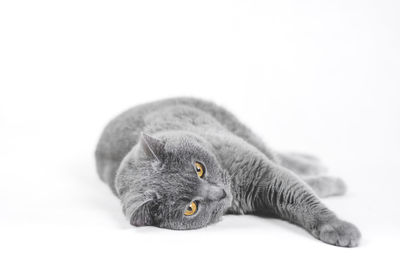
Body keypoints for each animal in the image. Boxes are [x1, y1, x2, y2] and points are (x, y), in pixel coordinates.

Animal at [95, 97, 360, 248]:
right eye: (191, 208)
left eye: (199, 168)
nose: (220, 193)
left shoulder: (264, 171)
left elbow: (302, 195)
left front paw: (340, 228)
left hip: (242, 130)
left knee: (280, 156)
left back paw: (315, 163)